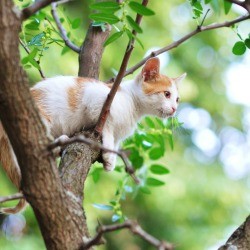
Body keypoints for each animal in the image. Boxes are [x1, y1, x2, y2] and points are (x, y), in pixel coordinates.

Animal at [0, 57, 186, 213]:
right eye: (166, 94)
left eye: (177, 99)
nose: (174, 109)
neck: (134, 106)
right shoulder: (96, 98)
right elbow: (108, 128)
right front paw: (109, 154)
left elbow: (116, 141)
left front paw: (111, 159)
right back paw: (58, 143)